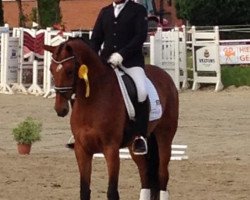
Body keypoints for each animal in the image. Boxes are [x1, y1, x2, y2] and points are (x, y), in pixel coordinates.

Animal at [44, 38, 178, 200]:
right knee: (145, 174)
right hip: (135, 146)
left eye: (69, 71)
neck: (93, 99)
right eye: (51, 70)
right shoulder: (82, 150)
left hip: (164, 136)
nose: (60, 109)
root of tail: (166, 75)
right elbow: (84, 190)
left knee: (162, 174)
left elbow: (112, 192)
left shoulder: (111, 149)